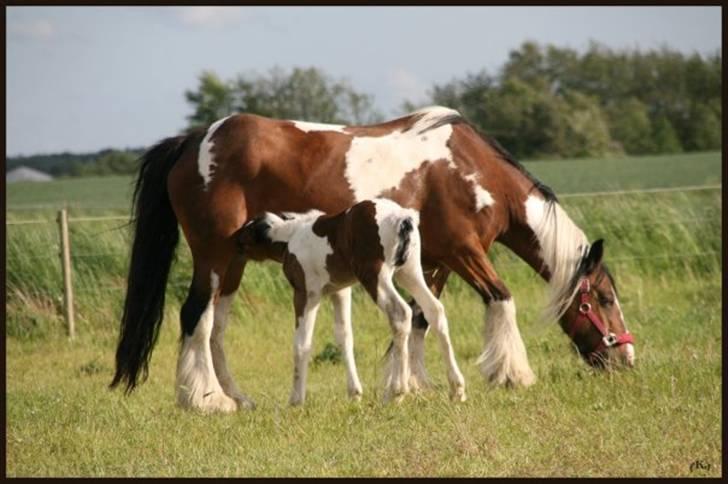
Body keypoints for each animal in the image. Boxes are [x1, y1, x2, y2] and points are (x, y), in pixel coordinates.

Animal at [239, 197, 466, 404]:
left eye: (247, 230)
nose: (234, 241)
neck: (291, 235)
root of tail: (403, 217)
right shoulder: (340, 291)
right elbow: (344, 336)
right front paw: (354, 394)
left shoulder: (306, 294)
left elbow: (302, 343)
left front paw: (296, 400)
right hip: (409, 272)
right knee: (434, 311)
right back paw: (457, 389)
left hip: (375, 277)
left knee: (401, 314)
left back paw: (396, 392)